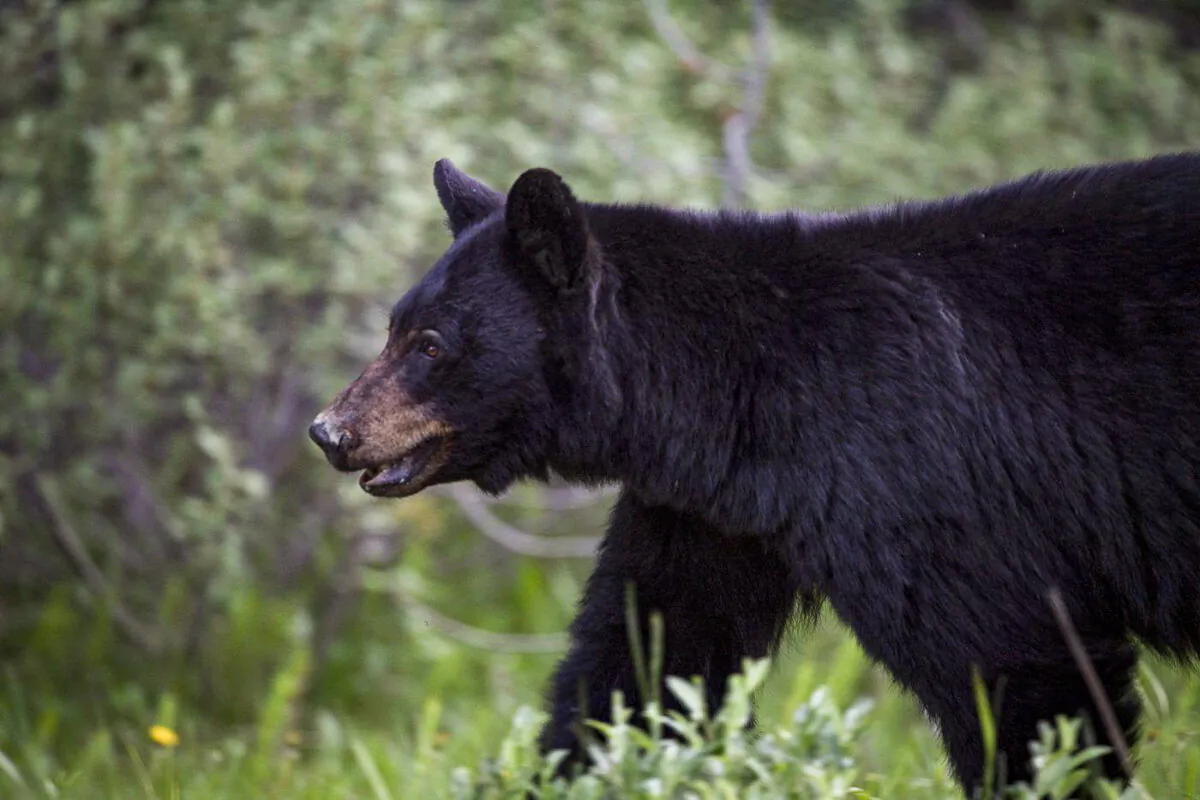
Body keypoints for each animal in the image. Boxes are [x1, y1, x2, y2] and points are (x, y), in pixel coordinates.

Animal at [309, 153, 1200, 793]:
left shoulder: (918, 474)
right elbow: (648, 661)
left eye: (431, 344)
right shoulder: (713, 515)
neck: (740, 395)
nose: (330, 431)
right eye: (393, 326)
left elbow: (1015, 666)